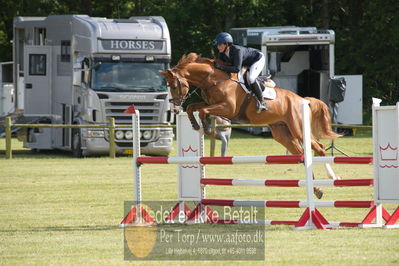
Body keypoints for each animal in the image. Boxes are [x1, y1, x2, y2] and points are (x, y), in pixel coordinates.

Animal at [161, 52, 342, 197]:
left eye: (175, 85)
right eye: (168, 86)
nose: (175, 109)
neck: (213, 79)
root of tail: (302, 99)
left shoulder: (227, 108)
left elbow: (203, 111)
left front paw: (206, 128)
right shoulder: (209, 103)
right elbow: (193, 108)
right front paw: (194, 124)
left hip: (298, 129)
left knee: (319, 147)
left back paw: (333, 177)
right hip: (282, 133)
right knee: (302, 154)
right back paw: (317, 189)